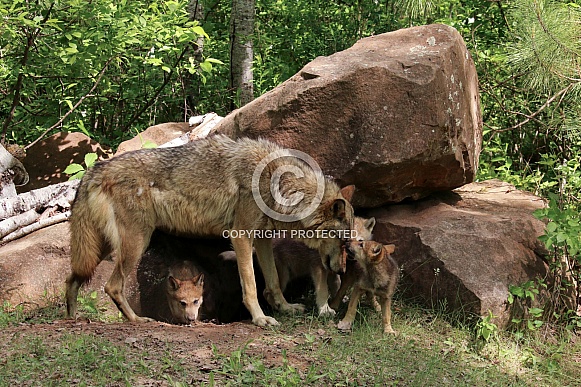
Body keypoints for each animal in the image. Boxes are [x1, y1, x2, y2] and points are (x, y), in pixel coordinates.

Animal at [63, 134, 354, 328]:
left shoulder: (261, 240)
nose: (341, 271)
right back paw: (137, 320)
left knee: (72, 279)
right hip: (135, 243)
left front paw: (285, 308)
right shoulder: (241, 236)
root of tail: (96, 169)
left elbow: (271, 282)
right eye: (343, 241)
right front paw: (260, 318)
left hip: (104, 248)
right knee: (112, 286)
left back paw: (71, 318)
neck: (278, 183)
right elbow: (251, 285)